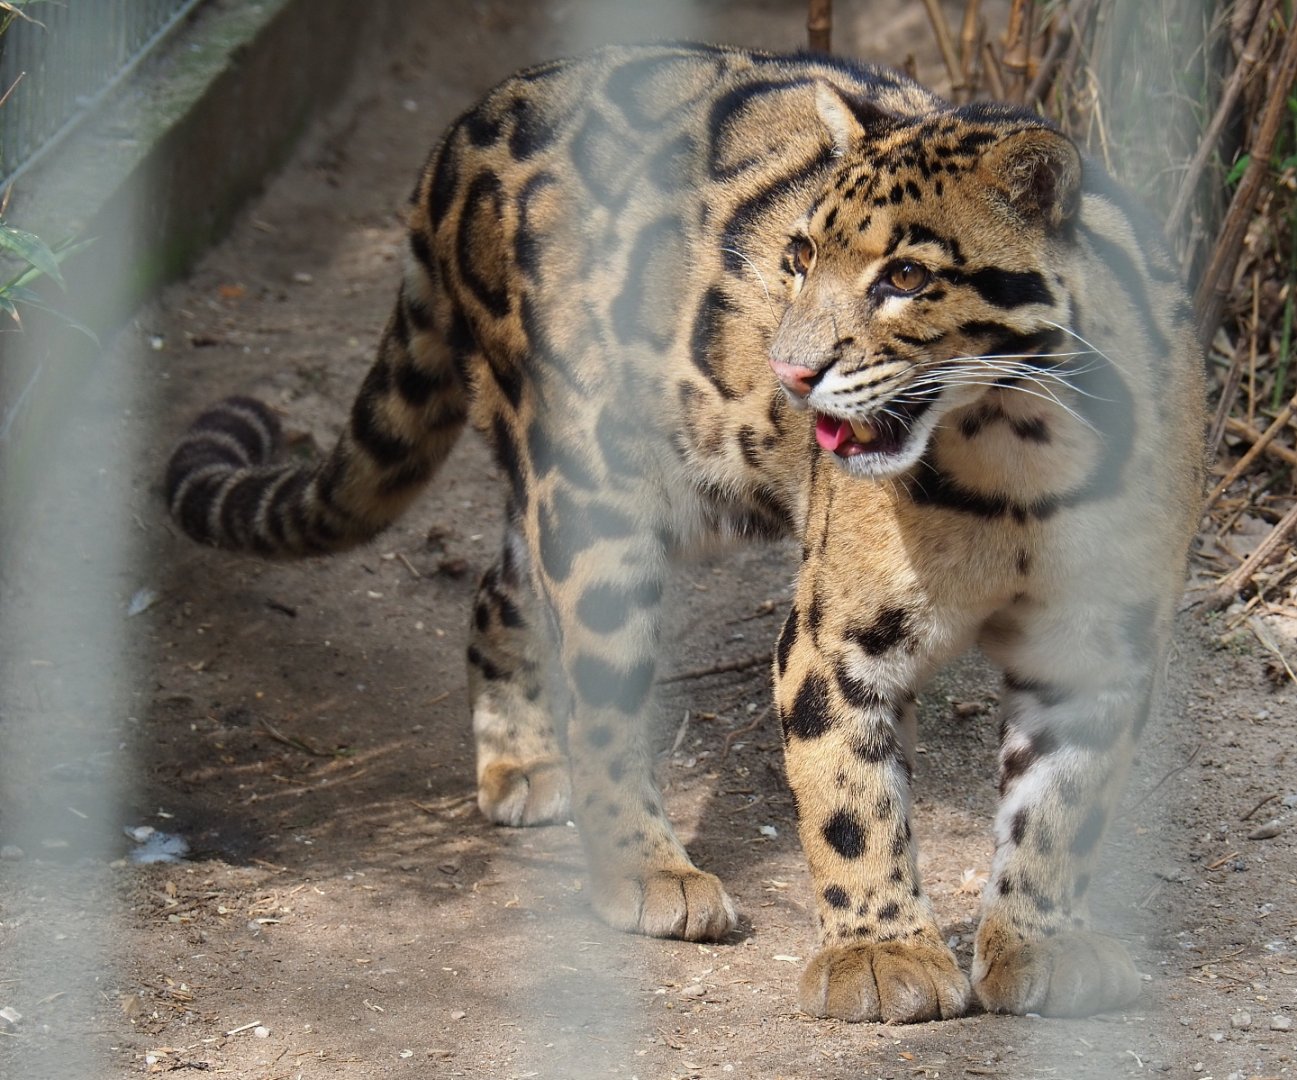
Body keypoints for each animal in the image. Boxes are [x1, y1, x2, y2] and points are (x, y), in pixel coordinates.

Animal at [165, 42, 1206, 1024]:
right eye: (798, 257)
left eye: (906, 276)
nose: (789, 373)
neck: (1019, 461)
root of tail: (470, 121)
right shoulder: (832, 640)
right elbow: (852, 802)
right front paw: (880, 957)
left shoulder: (1098, 650)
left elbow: (1061, 811)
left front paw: (1040, 942)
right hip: (596, 498)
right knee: (597, 695)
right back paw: (649, 871)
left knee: (497, 590)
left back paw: (520, 765)